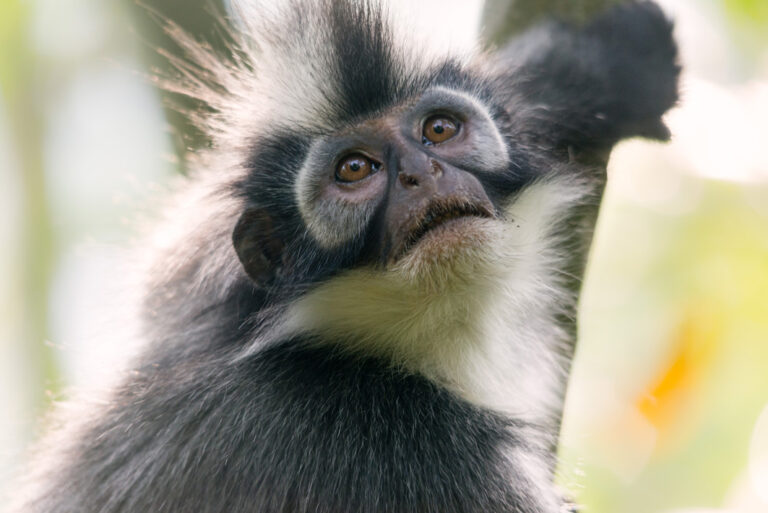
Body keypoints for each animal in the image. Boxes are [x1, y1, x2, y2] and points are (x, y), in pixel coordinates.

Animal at [9, 1, 676, 512]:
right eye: (355, 169)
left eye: (440, 130)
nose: (421, 174)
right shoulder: (411, 446)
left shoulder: (193, 299)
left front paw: (585, 69)